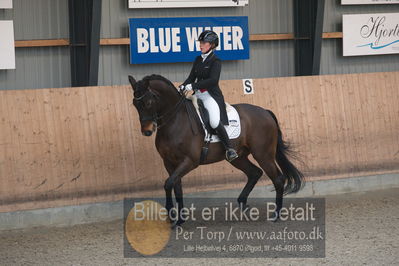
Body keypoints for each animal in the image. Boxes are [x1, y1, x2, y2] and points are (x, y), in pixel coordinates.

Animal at [130, 74, 304, 224]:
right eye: (135, 104)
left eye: (148, 102)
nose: (147, 131)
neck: (175, 121)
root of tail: (265, 112)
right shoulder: (169, 163)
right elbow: (175, 186)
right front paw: (179, 219)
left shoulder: (189, 161)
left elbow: (168, 184)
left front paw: (172, 214)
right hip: (238, 157)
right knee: (255, 173)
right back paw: (243, 205)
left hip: (263, 154)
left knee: (278, 179)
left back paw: (275, 215)